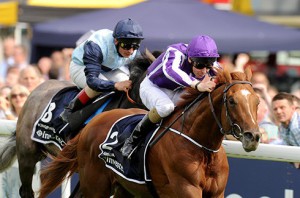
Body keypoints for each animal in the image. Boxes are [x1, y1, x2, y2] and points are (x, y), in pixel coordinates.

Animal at [39, 66, 260, 196]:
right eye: (232, 101)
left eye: (257, 101)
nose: (254, 137)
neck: (201, 146)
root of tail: (92, 124)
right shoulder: (186, 189)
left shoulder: (216, 192)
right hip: (95, 185)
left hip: (126, 188)